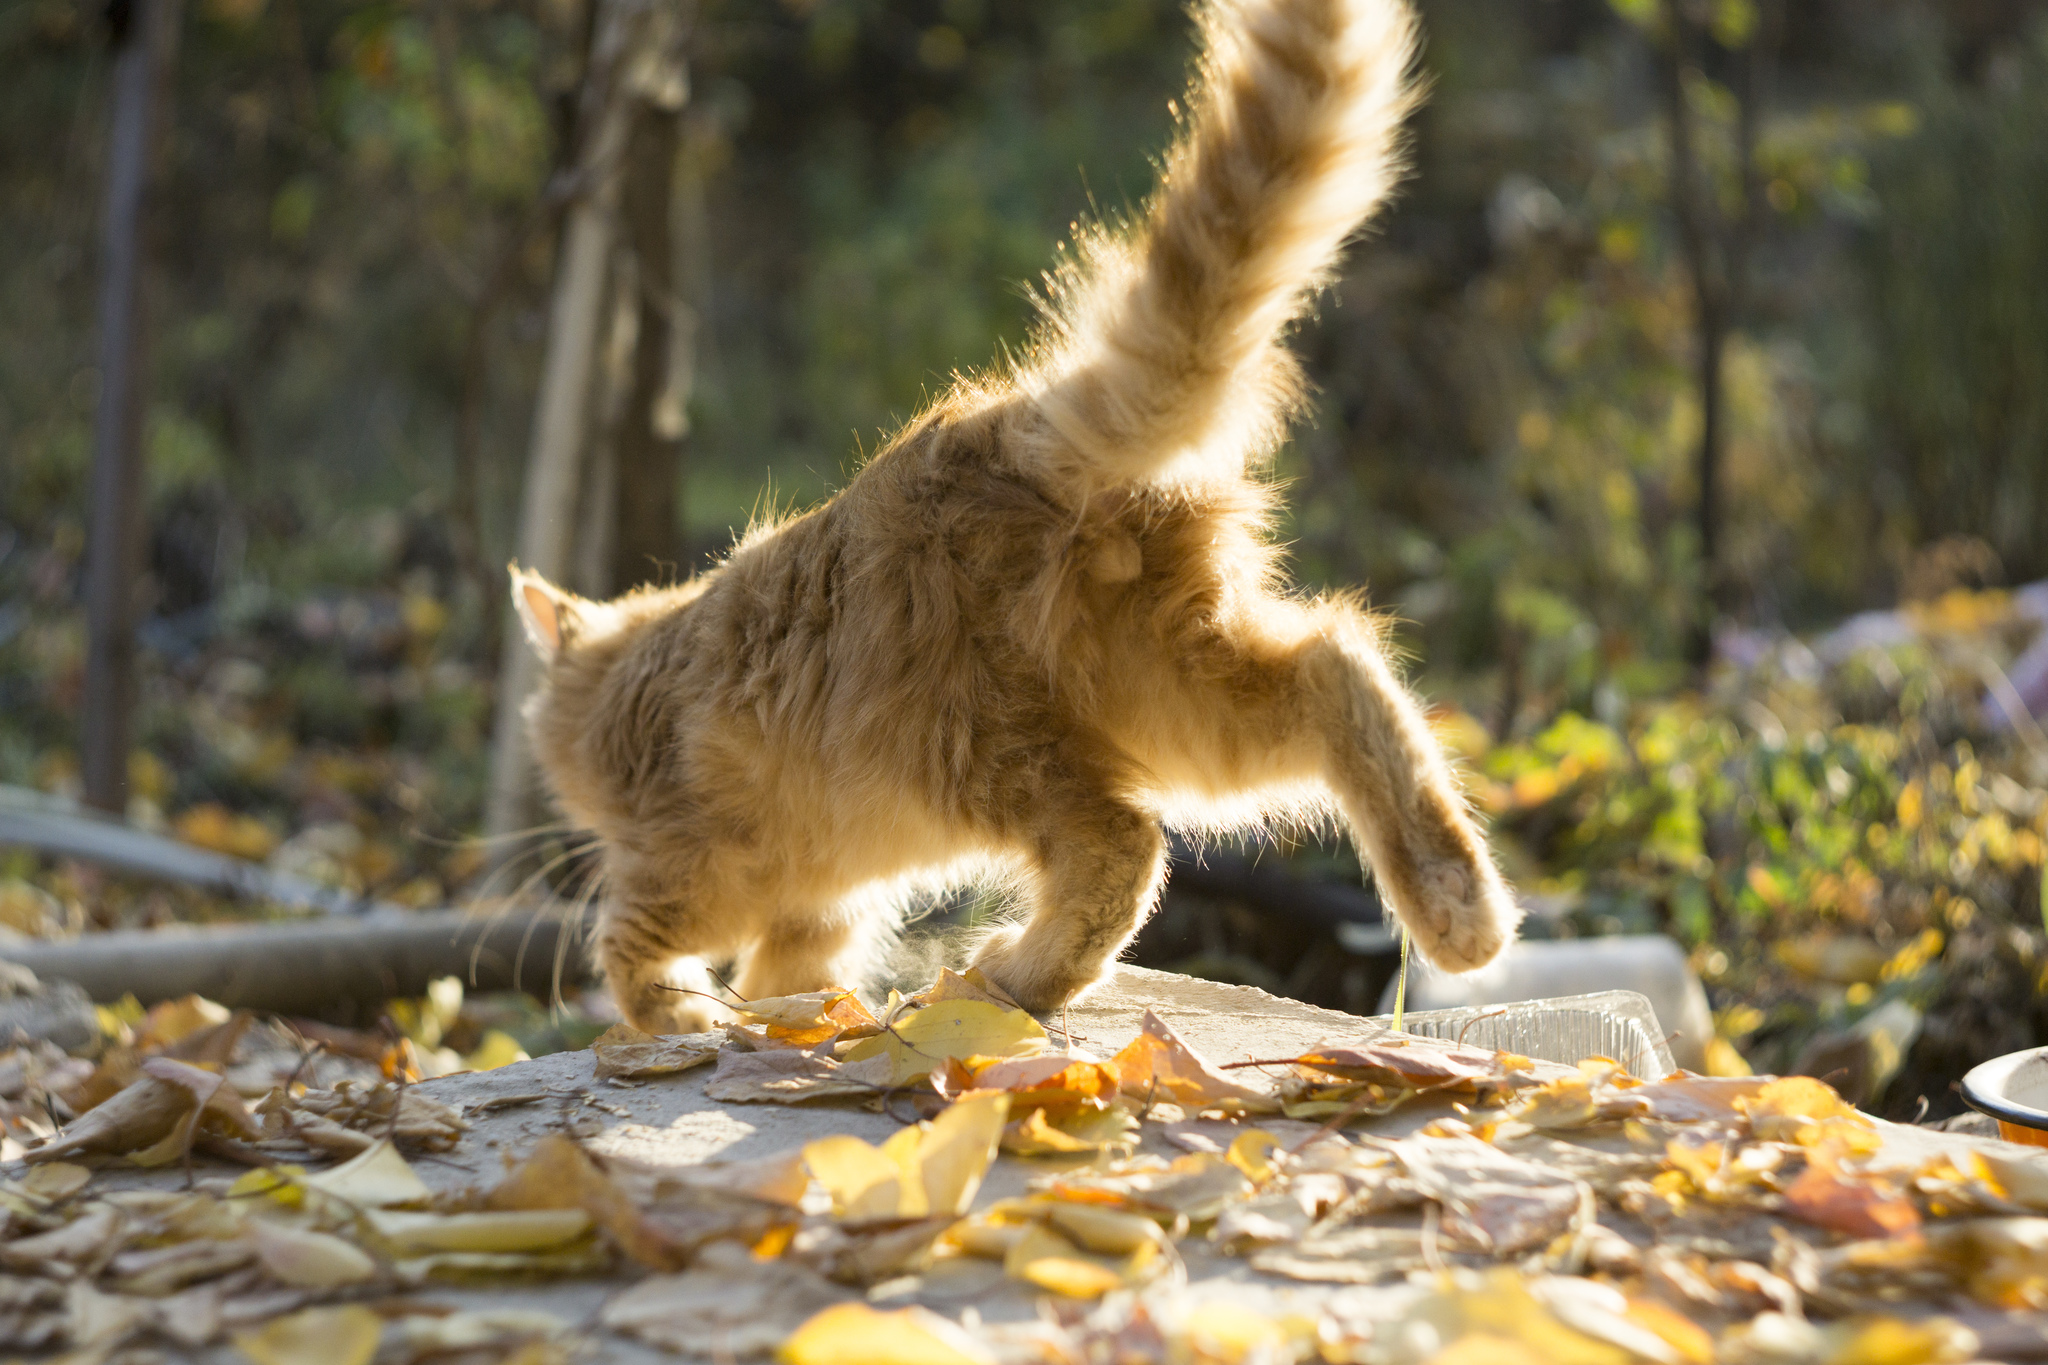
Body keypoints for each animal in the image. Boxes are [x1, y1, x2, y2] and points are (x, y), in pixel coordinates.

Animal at [505, 0, 1515, 1031]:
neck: (636, 687)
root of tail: (1012, 427)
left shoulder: (686, 864)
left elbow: (627, 946)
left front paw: (688, 1019)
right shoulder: (820, 907)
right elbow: (798, 976)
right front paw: (790, 1018)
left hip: (984, 752)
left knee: (1123, 845)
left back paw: (1010, 977)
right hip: (1178, 698)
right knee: (1336, 667)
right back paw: (1458, 903)